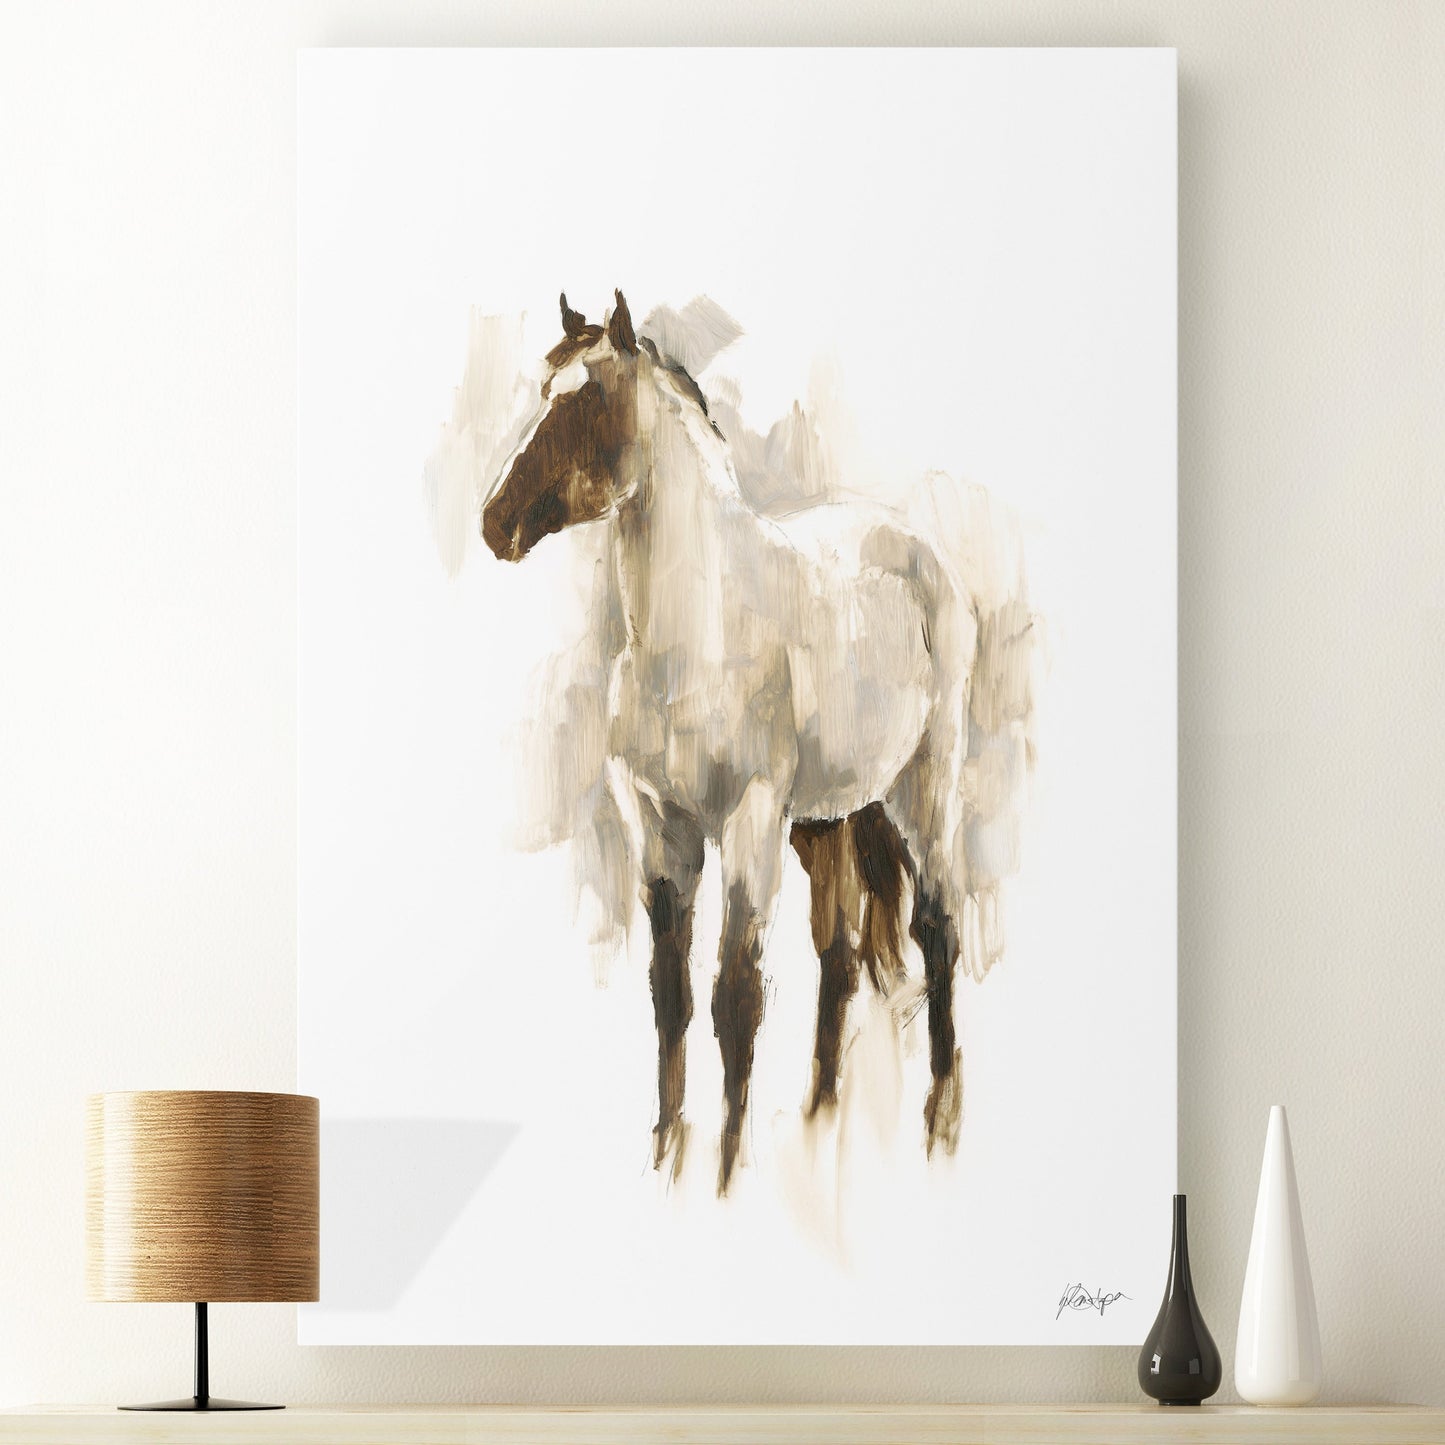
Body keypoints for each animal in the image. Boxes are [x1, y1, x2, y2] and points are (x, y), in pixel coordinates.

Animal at [482, 290, 1025, 1194]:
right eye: (540, 391)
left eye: (587, 398)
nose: (494, 523)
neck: (696, 637)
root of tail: (917, 551)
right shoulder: (659, 824)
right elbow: (671, 994)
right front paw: (667, 1155)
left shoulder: (748, 817)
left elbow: (735, 997)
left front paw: (725, 1176)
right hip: (828, 819)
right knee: (841, 958)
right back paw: (819, 1116)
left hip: (920, 785)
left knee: (937, 930)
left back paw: (937, 1124)